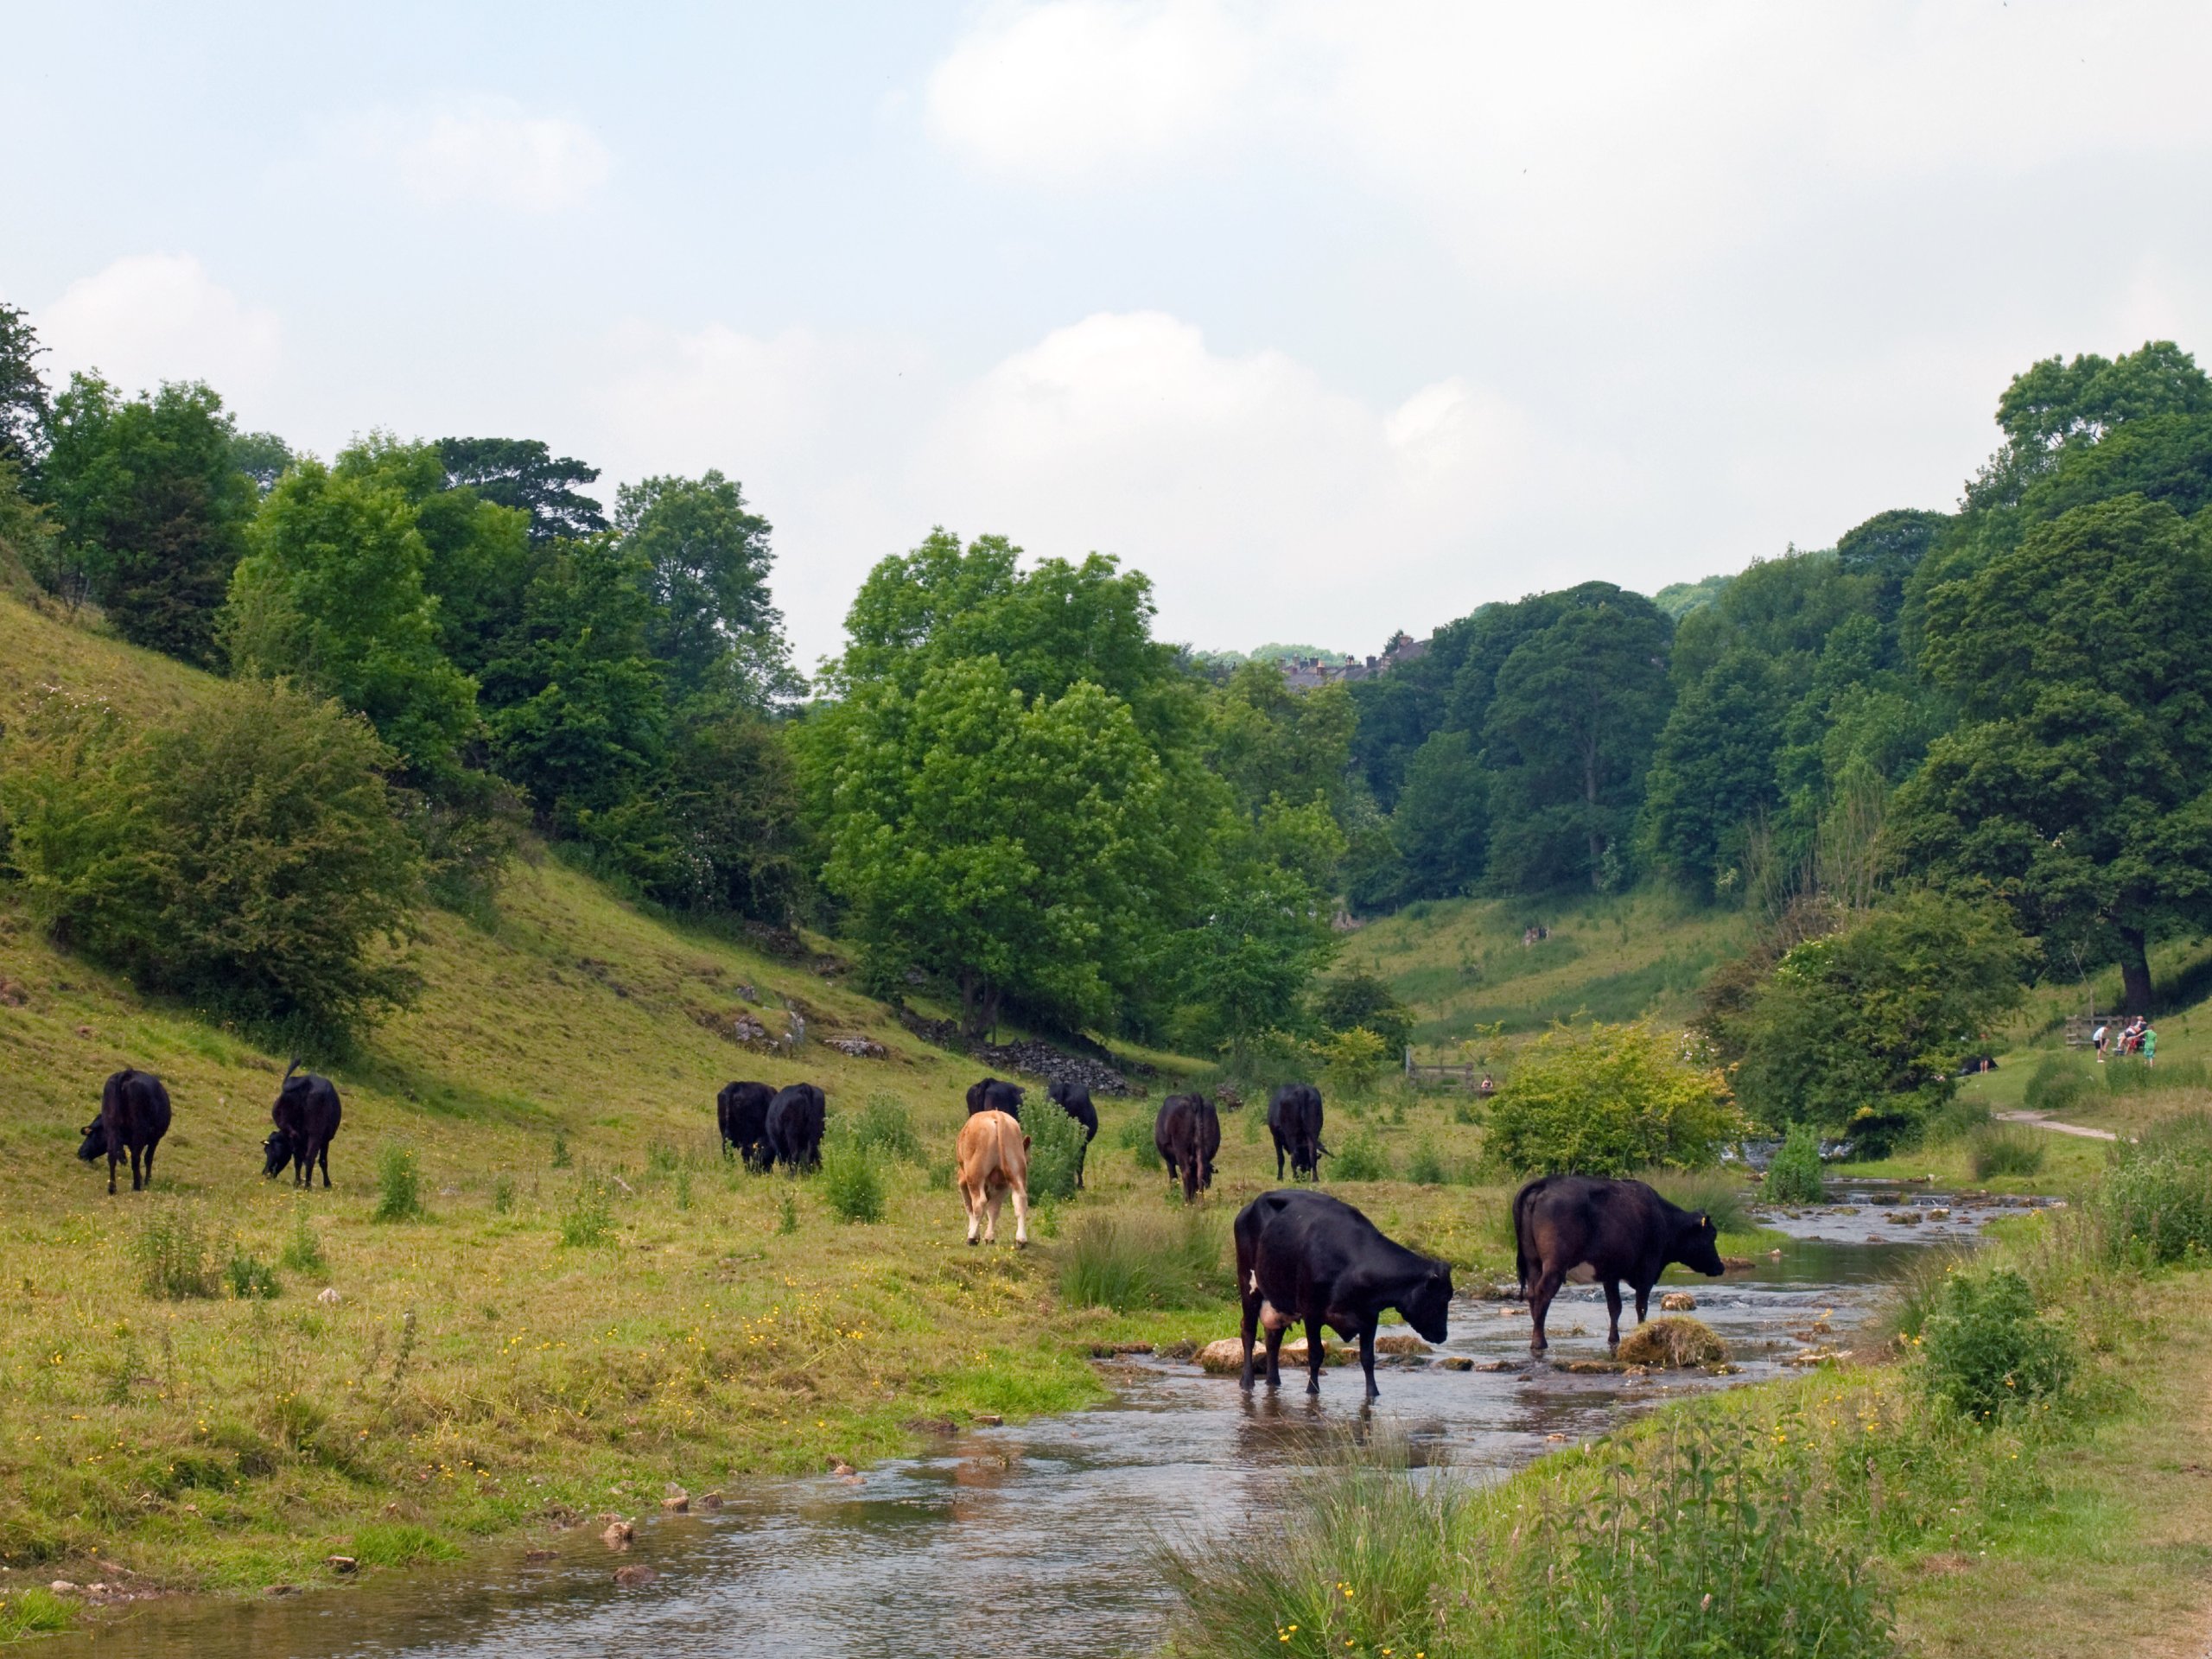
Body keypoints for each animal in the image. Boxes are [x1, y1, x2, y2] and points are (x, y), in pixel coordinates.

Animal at [78, 1071, 172, 1203]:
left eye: (91, 1134)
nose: (80, 1152)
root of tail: (127, 1073)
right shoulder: (155, 1139)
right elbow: (148, 1158)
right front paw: (146, 1181)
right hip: (139, 1129)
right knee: (136, 1158)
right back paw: (136, 1186)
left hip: (111, 1125)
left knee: (112, 1155)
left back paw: (112, 1188)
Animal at [263, 1057, 340, 1185]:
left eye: (267, 1151)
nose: (265, 1173)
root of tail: (306, 1081)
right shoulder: (325, 1140)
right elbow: (323, 1160)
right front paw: (327, 1184)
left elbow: (298, 1159)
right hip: (315, 1133)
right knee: (310, 1157)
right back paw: (307, 1186)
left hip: (292, 1129)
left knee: (299, 1158)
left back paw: (298, 1182)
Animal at [955, 1119, 1030, 1247]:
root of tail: (998, 1117)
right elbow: (992, 1210)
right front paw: (988, 1237)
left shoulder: (962, 1178)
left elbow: (969, 1206)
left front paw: (973, 1231)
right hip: (1012, 1175)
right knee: (1018, 1200)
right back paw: (1020, 1239)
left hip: (975, 1175)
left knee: (979, 1203)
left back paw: (972, 1238)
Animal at [1230, 1185, 1451, 1407]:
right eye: (1442, 1298)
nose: (1443, 1335)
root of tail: (1249, 1206)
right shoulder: (1311, 1313)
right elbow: (1316, 1354)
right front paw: (1312, 1392)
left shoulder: (1370, 1317)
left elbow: (1367, 1358)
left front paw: (1372, 1395)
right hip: (1248, 1284)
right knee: (1248, 1332)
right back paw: (1247, 1382)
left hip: (1279, 1299)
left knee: (1273, 1338)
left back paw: (1274, 1382)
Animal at [1522, 1176, 1725, 1353]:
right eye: (1712, 1235)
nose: (1720, 1266)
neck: (1663, 1218)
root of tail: (1546, 1183)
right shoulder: (1647, 1270)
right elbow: (1641, 1306)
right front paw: (1642, 1333)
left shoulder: (1610, 1274)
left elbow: (1615, 1307)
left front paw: (1614, 1339)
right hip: (1555, 1264)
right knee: (1543, 1293)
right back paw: (1539, 1342)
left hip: (1533, 1262)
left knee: (1532, 1294)